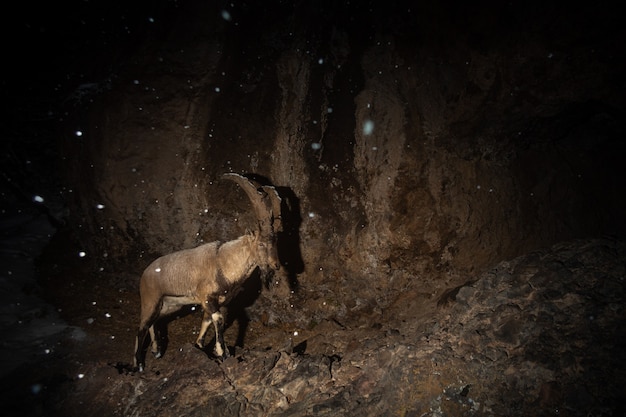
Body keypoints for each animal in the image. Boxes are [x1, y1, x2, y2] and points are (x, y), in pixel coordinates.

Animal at [133, 172, 280, 370]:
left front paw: (201, 346)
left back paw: (156, 350)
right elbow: (218, 319)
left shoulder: (219, 301)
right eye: (262, 244)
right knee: (141, 327)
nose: (276, 265)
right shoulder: (207, 298)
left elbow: (208, 320)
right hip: (151, 299)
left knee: (154, 321)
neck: (223, 262)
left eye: (276, 242)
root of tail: (145, 273)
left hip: (171, 305)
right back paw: (139, 363)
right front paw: (223, 353)